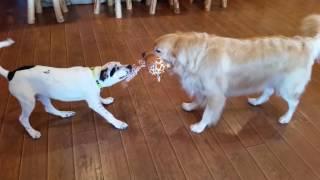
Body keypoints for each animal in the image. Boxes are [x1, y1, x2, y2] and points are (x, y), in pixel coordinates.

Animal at [0, 61, 132, 139]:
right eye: (116, 68)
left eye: (120, 63)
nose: (130, 66)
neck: (95, 76)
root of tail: (10, 74)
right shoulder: (94, 104)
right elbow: (108, 114)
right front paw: (118, 123)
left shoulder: (94, 97)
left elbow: (99, 97)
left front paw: (105, 100)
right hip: (28, 101)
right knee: (23, 119)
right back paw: (33, 132)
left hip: (43, 95)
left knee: (49, 108)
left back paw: (64, 114)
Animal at [149, 14, 320, 133]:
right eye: (153, 46)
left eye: (158, 51)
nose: (144, 54)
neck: (197, 55)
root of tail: (306, 43)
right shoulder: (201, 86)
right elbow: (198, 99)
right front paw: (190, 106)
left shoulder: (216, 94)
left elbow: (208, 113)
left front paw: (199, 127)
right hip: (270, 79)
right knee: (267, 93)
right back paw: (256, 102)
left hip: (286, 87)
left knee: (294, 103)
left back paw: (285, 118)